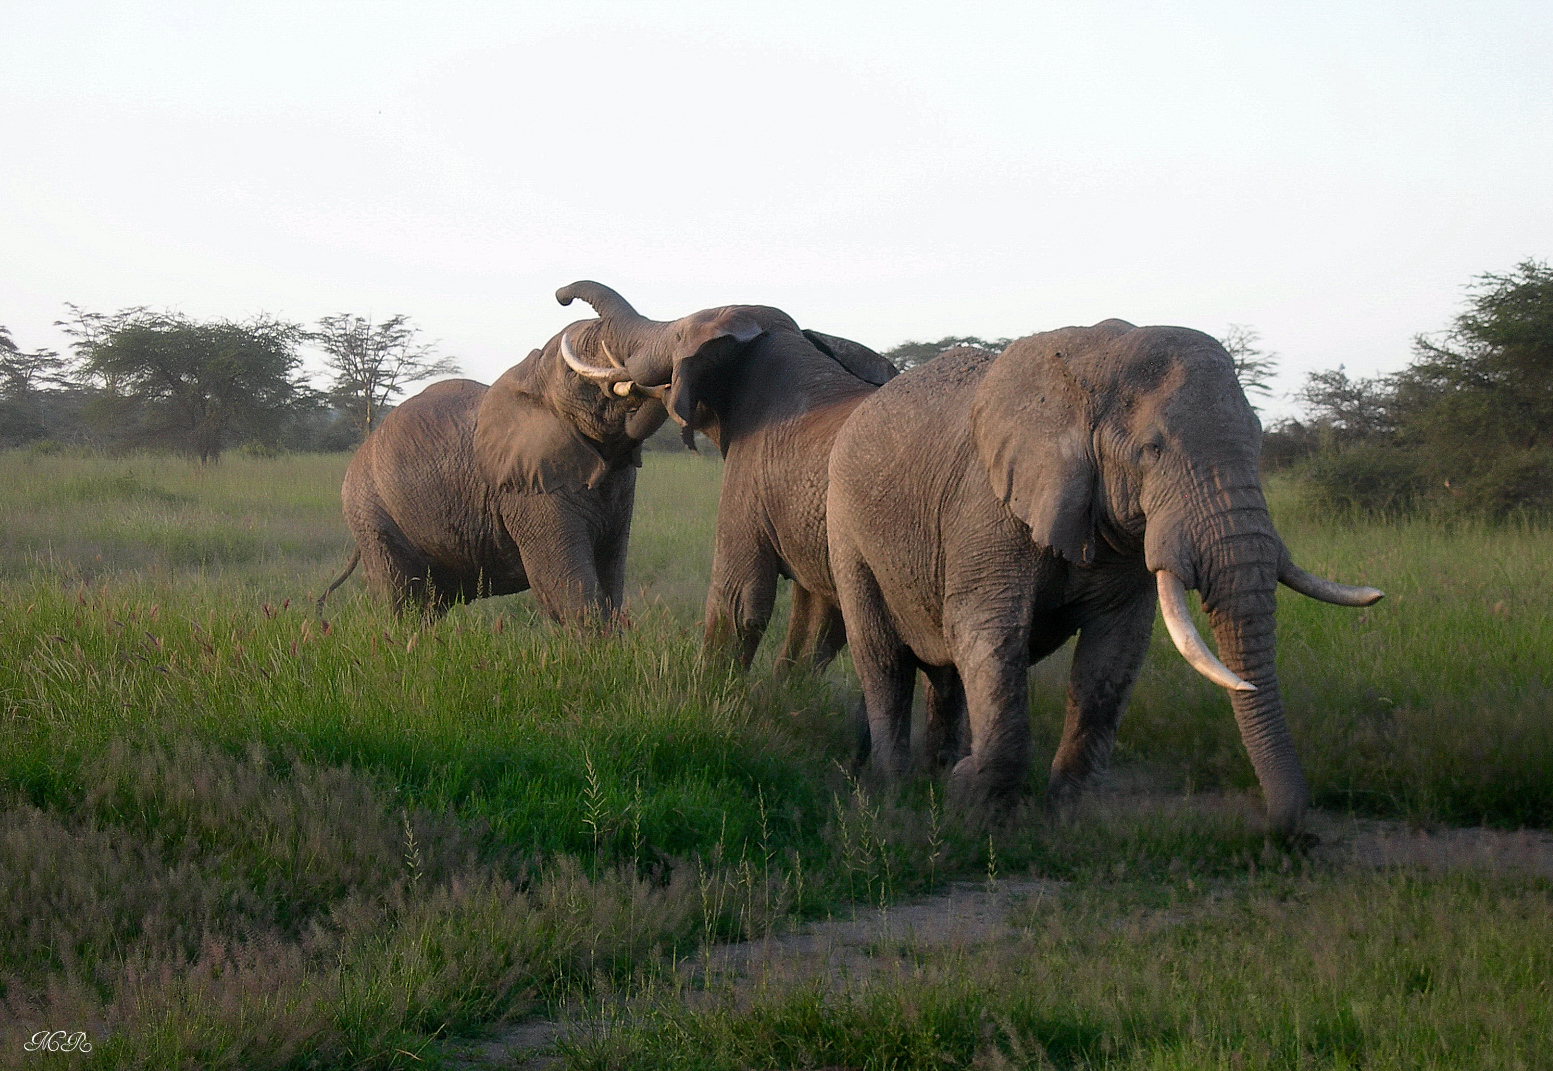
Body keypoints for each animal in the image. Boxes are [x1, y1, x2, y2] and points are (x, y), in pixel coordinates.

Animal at [321, 290, 667, 627]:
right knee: (402, 601)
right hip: (370, 511)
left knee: (429, 606)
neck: (531, 377)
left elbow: (611, 580)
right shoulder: (527, 488)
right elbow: (564, 588)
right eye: (579, 369)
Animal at [826, 321, 1385, 831]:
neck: (1093, 363)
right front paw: (977, 809)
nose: (1279, 830)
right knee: (882, 656)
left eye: (1260, 440)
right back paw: (895, 789)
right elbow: (989, 633)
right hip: (845, 526)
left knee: (944, 672)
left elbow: (1113, 655)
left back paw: (936, 773)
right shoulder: (986, 508)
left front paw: (1067, 818)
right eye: (1153, 450)